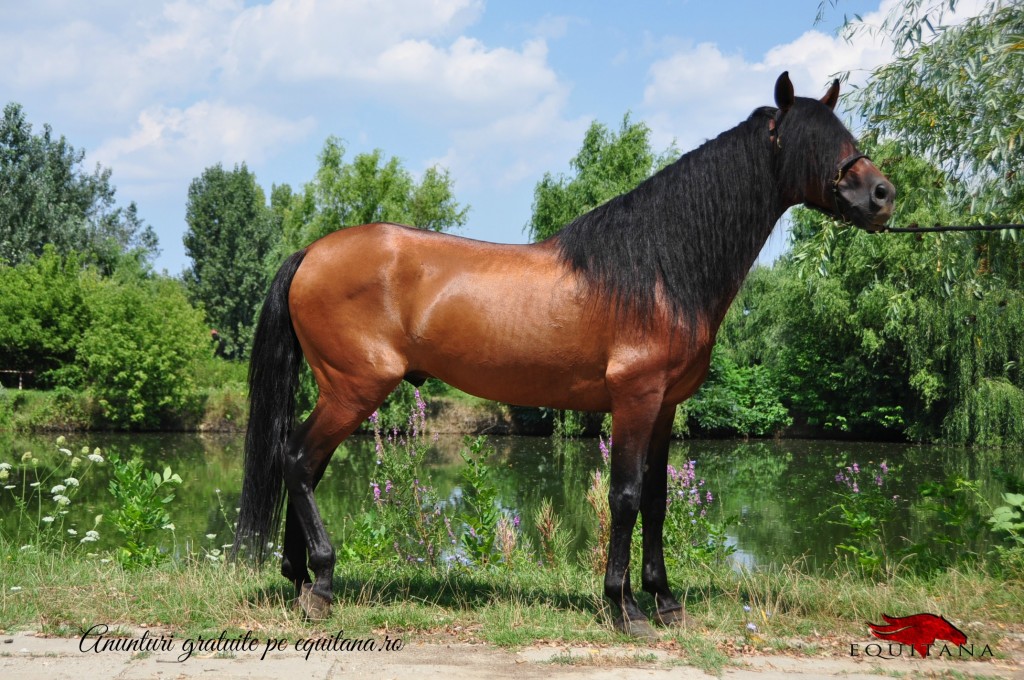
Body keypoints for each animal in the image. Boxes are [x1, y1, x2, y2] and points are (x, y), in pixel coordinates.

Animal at [235, 73, 892, 639]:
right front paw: (624, 608)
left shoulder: (666, 406)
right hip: (355, 388)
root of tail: (312, 253)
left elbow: (656, 499)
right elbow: (624, 497)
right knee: (298, 460)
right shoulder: (635, 398)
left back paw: (300, 578)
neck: (658, 267)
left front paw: (665, 599)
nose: (882, 194)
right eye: (816, 144)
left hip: (343, 392)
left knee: (304, 464)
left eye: (848, 137)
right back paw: (320, 583)